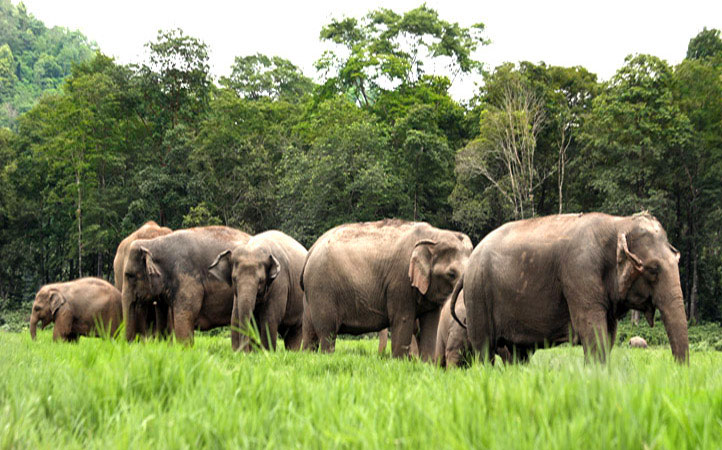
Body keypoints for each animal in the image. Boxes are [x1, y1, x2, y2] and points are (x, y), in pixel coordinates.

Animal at [301, 219, 473, 360]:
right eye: (451, 274)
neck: (434, 235)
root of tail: (311, 250)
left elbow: (431, 324)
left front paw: (427, 366)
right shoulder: (400, 281)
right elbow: (403, 320)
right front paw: (400, 363)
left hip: (312, 294)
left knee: (310, 333)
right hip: (322, 288)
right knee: (327, 333)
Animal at [452, 212, 689, 363]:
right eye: (653, 269)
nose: (678, 373)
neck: (618, 223)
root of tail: (468, 266)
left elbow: (608, 336)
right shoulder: (579, 272)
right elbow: (591, 330)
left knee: (518, 354)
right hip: (478, 295)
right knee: (484, 349)